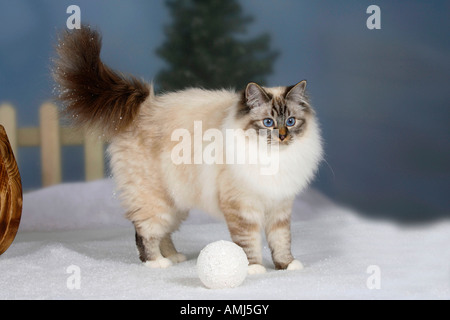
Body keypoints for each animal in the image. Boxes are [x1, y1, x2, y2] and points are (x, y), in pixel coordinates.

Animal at [53, 26, 324, 274]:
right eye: (268, 122)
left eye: (291, 121)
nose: (282, 136)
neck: (273, 159)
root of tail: (146, 106)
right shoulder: (243, 208)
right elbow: (249, 245)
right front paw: (254, 269)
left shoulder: (280, 207)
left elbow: (281, 242)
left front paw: (287, 266)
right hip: (154, 200)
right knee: (145, 232)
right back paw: (157, 263)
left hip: (174, 203)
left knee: (164, 233)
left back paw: (174, 257)